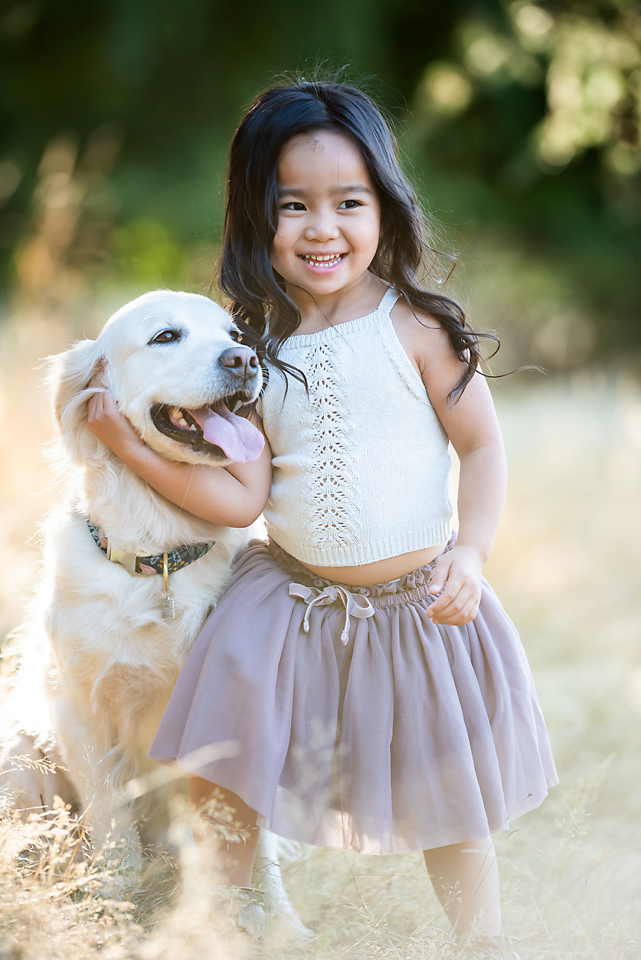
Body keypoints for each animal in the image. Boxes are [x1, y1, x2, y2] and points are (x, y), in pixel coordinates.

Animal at [0, 288, 304, 928]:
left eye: (237, 334)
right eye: (166, 336)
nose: (245, 360)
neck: (162, 553)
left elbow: (252, 835)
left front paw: (278, 923)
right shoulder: (79, 712)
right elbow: (112, 824)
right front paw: (114, 908)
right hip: (20, 759)